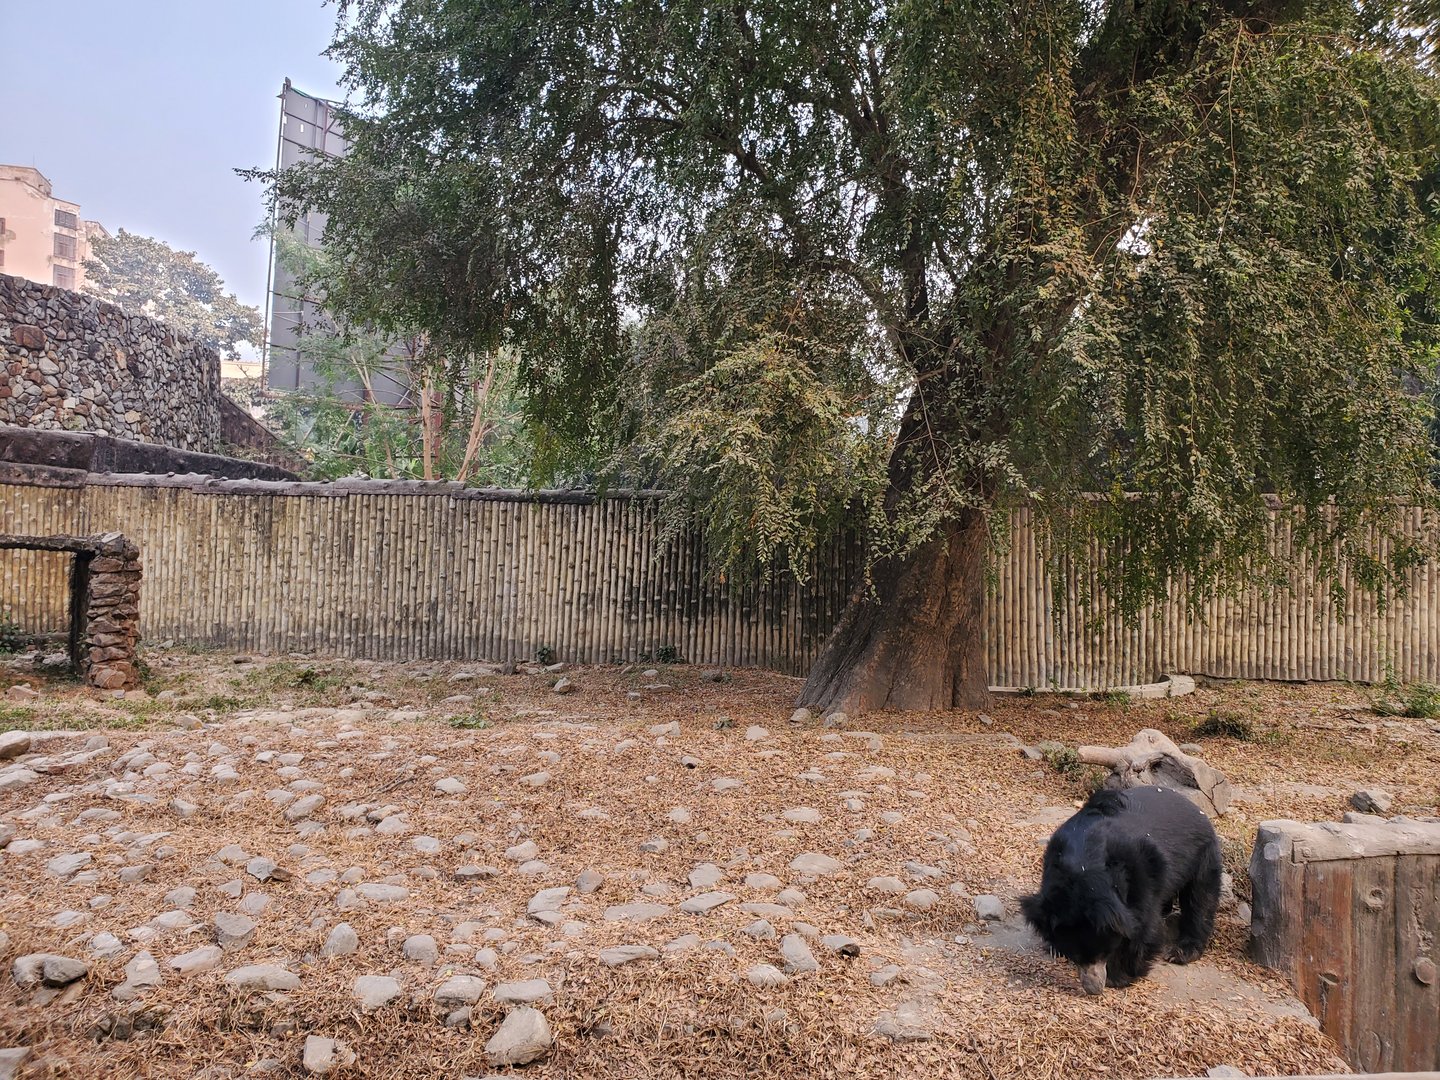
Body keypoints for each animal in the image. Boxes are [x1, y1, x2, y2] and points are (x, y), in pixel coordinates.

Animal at [1020, 784, 1221, 995]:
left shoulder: (1142, 873)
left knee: (1200, 900)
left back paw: (1182, 951)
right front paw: (1054, 947)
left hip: (1202, 856)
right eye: (1075, 956)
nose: (1093, 987)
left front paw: (1119, 976)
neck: (1083, 863)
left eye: (1104, 952)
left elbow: (1144, 926)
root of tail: (1197, 809)